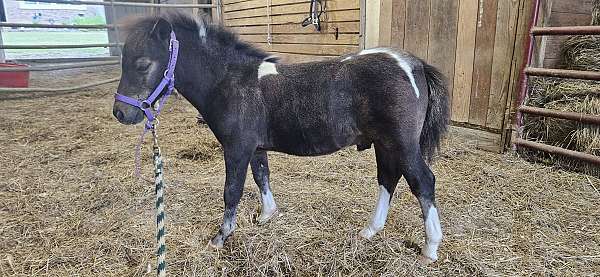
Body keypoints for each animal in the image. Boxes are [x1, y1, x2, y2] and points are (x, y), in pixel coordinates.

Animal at [112, 12, 450, 264]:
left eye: (143, 64)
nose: (121, 113)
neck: (230, 81)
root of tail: (414, 65)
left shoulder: (236, 148)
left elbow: (231, 191)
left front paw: (221, 237)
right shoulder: (255, 147)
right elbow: (262, 176)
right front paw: (266, 215)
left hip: (402, 144)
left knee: (423, 182)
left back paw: (430, 248)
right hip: (384, 143)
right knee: (388, 178)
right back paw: (370, 230)